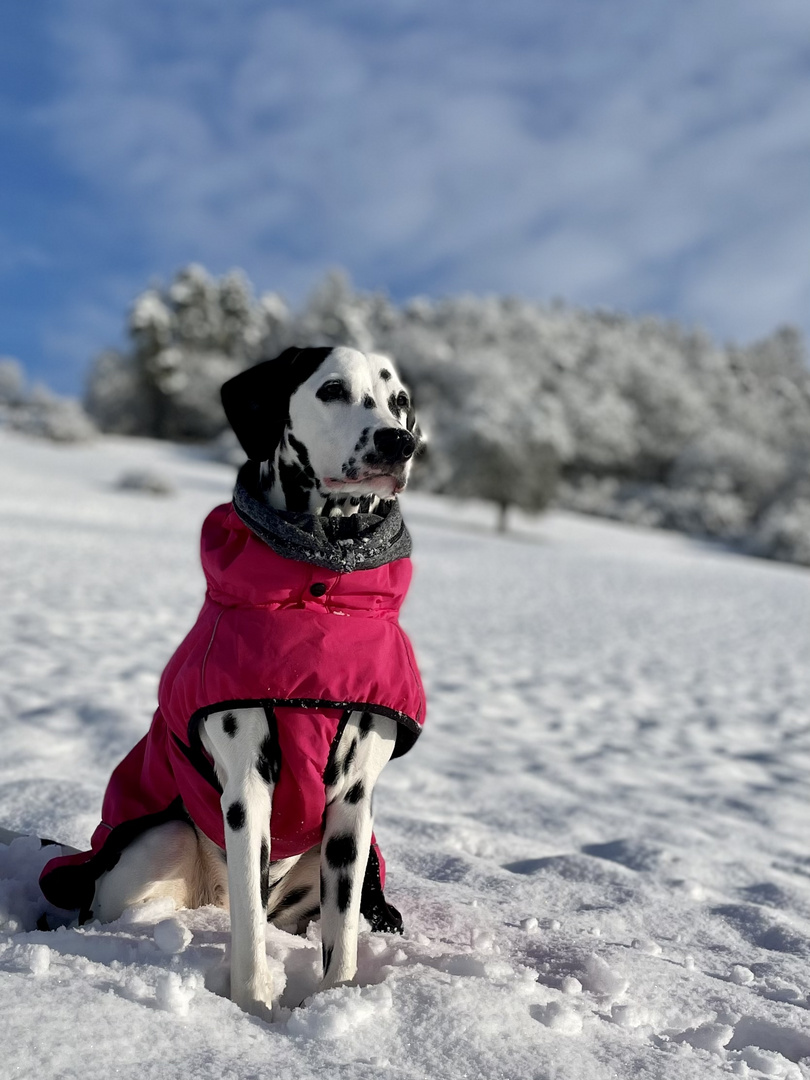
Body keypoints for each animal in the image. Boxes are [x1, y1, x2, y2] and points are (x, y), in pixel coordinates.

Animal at [38, 345, 427, 1019]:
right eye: (331, 389)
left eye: (398, 400)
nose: (398, 441)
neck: (321, 595)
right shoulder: (246, 789)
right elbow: (247, 938)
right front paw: (253, 1011)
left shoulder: (353, 805)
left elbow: (343, 941)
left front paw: (333, 1005)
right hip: (159, 835)